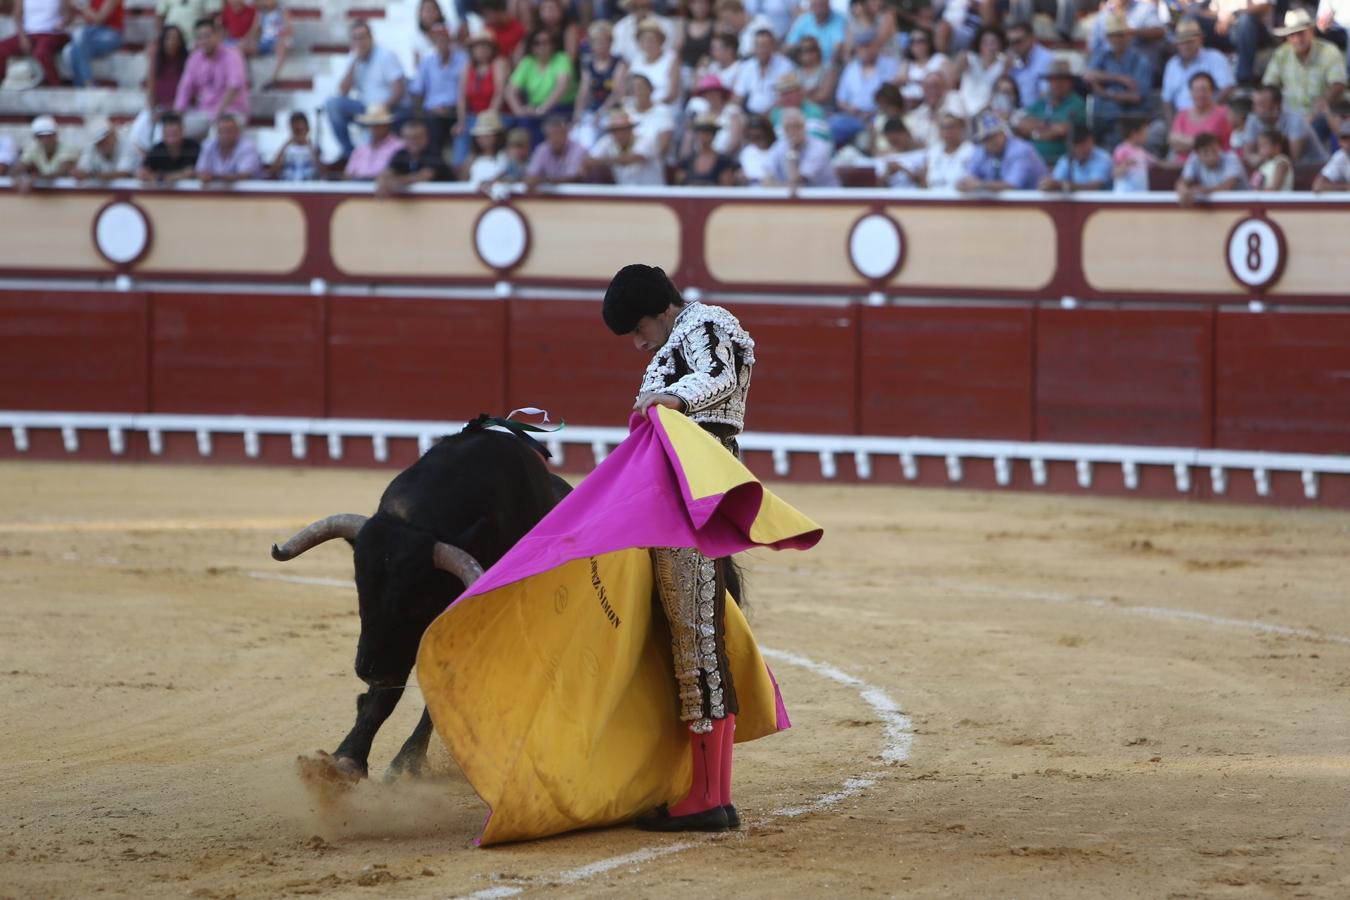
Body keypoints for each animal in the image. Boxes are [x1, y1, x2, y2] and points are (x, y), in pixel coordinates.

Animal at [268, 423, 569, 782]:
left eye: (418, 602)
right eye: (362, 592)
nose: (369, 670)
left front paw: (406, 764)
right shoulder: (393, 645)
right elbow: (386, 695)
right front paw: (347, 758)